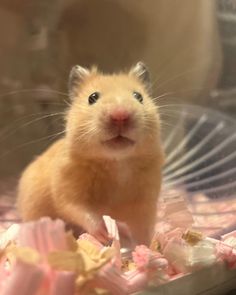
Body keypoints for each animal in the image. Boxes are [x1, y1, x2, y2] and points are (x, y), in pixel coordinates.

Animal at [17, 63, 164, 247]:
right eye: (92, 98)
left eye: (139, 96)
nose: (120, 115)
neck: (117, 161)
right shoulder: (69, 191)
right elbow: (83, 211)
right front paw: (105, 234)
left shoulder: (145, 201)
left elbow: (143, 229)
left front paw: (149, 247)